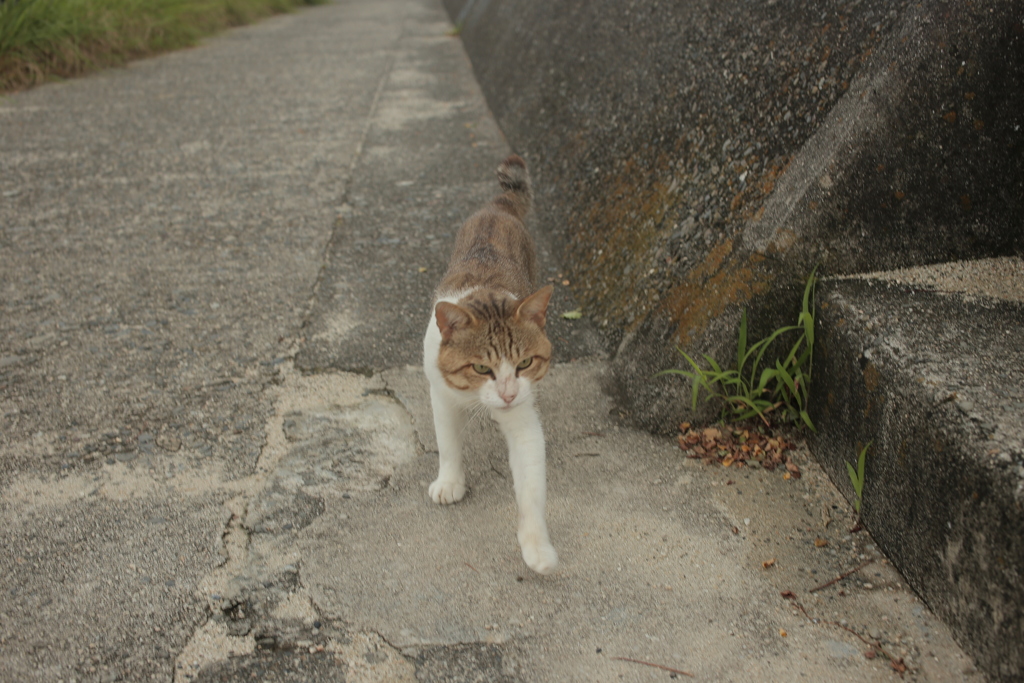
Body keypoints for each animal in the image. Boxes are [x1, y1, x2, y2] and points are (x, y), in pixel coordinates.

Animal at [419, 152, 557, 573]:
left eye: (525, 363)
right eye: (481, 368)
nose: (508, 394)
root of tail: (498, 206)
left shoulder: (523, 418)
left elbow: (530, 486)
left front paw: (536, 546)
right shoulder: (441, 394)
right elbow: (447, 443)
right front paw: (450, 482)